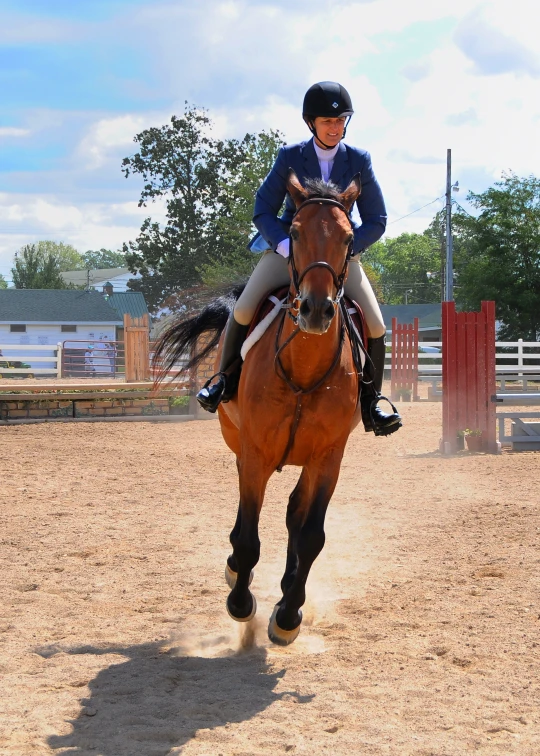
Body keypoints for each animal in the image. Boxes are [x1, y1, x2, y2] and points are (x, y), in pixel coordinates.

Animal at [154, 170, 364, 644]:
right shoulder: (256, 454)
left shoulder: (329, 458)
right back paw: (237, 574)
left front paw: (287, 616)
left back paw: (287, 589)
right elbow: (248, 535)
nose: (316, 310)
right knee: (245, 515)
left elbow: (310, 535)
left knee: (293, 516)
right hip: (240, 445)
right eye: (294, 232)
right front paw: (240, 602)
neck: (304, 369)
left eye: (348, 238)